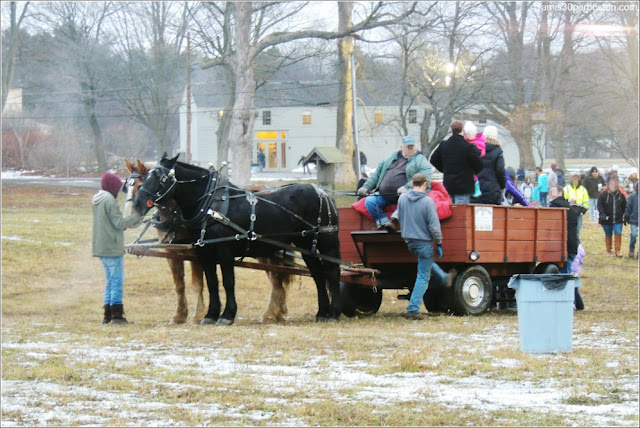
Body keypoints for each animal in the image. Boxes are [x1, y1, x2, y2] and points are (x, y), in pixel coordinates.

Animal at [132, 154, 342, 324]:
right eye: (146, 176)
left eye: (160, 178)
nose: (137, 203)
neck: (211, 206)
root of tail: (323, 193)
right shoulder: (204, 252)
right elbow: (212, 283)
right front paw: (210, 315)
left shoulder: (224, 251)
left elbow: (228, 282)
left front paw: (227, 315)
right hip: (305, 244)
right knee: (317, 274)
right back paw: (322, 312)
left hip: (326, 242)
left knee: (332, 271)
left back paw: (333, 313)